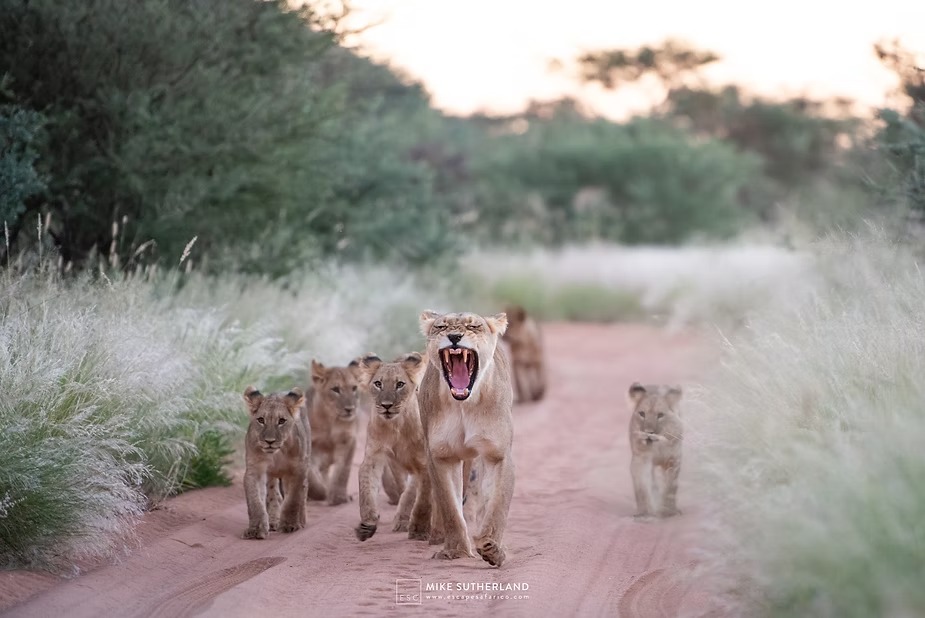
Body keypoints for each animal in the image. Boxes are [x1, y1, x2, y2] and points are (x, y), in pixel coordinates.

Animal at [241, 386, 309, 540]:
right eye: (261, 420)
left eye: (282, 421)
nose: (269, 441)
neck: (276, 455)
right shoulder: (255, 470)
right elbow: (255, 502)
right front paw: (256, 529)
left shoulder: (298, 469)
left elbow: (293, 499)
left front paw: (289, 524)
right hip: (271, 475)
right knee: (274, 495)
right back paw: (273, 521)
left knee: (303, 491)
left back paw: (301, 520)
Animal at [307, 359, 363, 506]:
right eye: (336, 389)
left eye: (354, 388)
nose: (350, 409)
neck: (330, 420)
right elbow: (310, 475)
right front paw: (320, 493)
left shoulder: (348, 440)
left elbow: (342, 471)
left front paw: (338, 497)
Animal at [354, 352, 432, 542]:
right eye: (378, 383)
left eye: (400, 384)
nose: (386, 405)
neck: (396, 427)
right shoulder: (373, 457)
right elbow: (366, 490)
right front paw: (367, 525)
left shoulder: (424, 463)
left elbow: (419, 497)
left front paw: (418, 529)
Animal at [418, 310, 515, 567]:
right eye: (441, 326)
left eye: (473, 326)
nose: (454, 337)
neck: (464, 404)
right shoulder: (441, 455)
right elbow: (449, 507)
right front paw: (456, 550)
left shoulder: (497, 454)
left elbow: (497, 505)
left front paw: (491, 547)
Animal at [627, 383, 684, 519]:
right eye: (642, 414)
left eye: (660, 415)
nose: (648, 433)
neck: (658, 448)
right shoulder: (640, 460)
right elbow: (642, 487)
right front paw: (645, 513)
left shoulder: (673, 460)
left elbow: (670, 487)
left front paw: (668, 512)